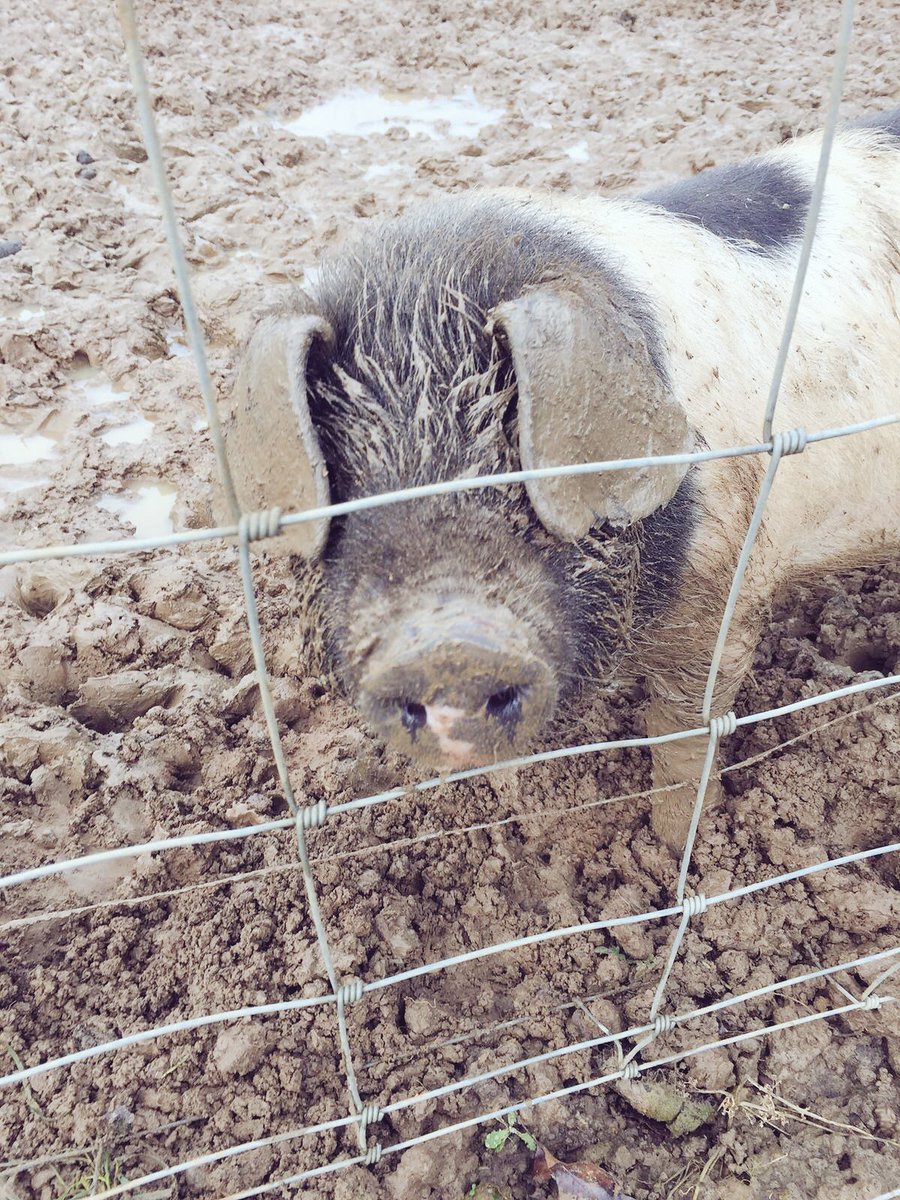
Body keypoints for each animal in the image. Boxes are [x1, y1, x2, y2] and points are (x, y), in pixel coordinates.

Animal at [223, 111, 900, 845]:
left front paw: (674, 844)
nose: (446, 645)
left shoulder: (725, 588)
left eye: (517, 446)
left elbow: (684, 730)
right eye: (345, 470)